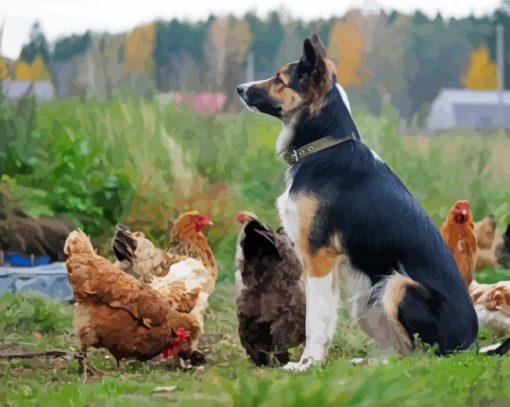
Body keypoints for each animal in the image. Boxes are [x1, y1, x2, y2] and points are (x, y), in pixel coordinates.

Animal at [237, 35, 480, 372]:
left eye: (279, 80)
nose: (239, 88)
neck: (323, 148)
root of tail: (472, 345)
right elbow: (324, 319)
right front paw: (316, 361)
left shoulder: (319, 258)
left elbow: (315, 320)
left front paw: (307, 364)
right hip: (367, 300)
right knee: (403, 351)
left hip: (395, 286)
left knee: (421, 357)